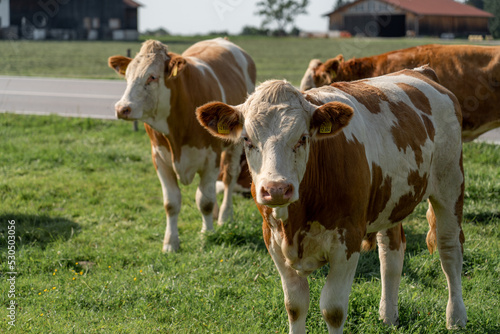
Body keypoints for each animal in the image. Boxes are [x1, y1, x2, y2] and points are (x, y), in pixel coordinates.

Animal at [110, 37, 258, 252]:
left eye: (152, 77)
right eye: (127, 77)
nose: (122, 108)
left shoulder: (211, 158)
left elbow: (205, 200)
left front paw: (207, 234)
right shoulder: (160, 159)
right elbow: (171, 203)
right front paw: (170, 242)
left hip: (235, 145)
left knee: (229, 177)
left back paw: (224, 216)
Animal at [197, 66, 466, 332]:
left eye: (303, 138)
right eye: (247, 140)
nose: (276, 189)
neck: (296, 223)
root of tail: (421, 71)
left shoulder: (348, 240)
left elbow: (333, 310)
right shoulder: (272, 240)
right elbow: (294, 306)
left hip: (450, 184)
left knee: (449, 251)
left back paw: (456, 318)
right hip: (392, 201)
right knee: (391, 253)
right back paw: (388, 316)